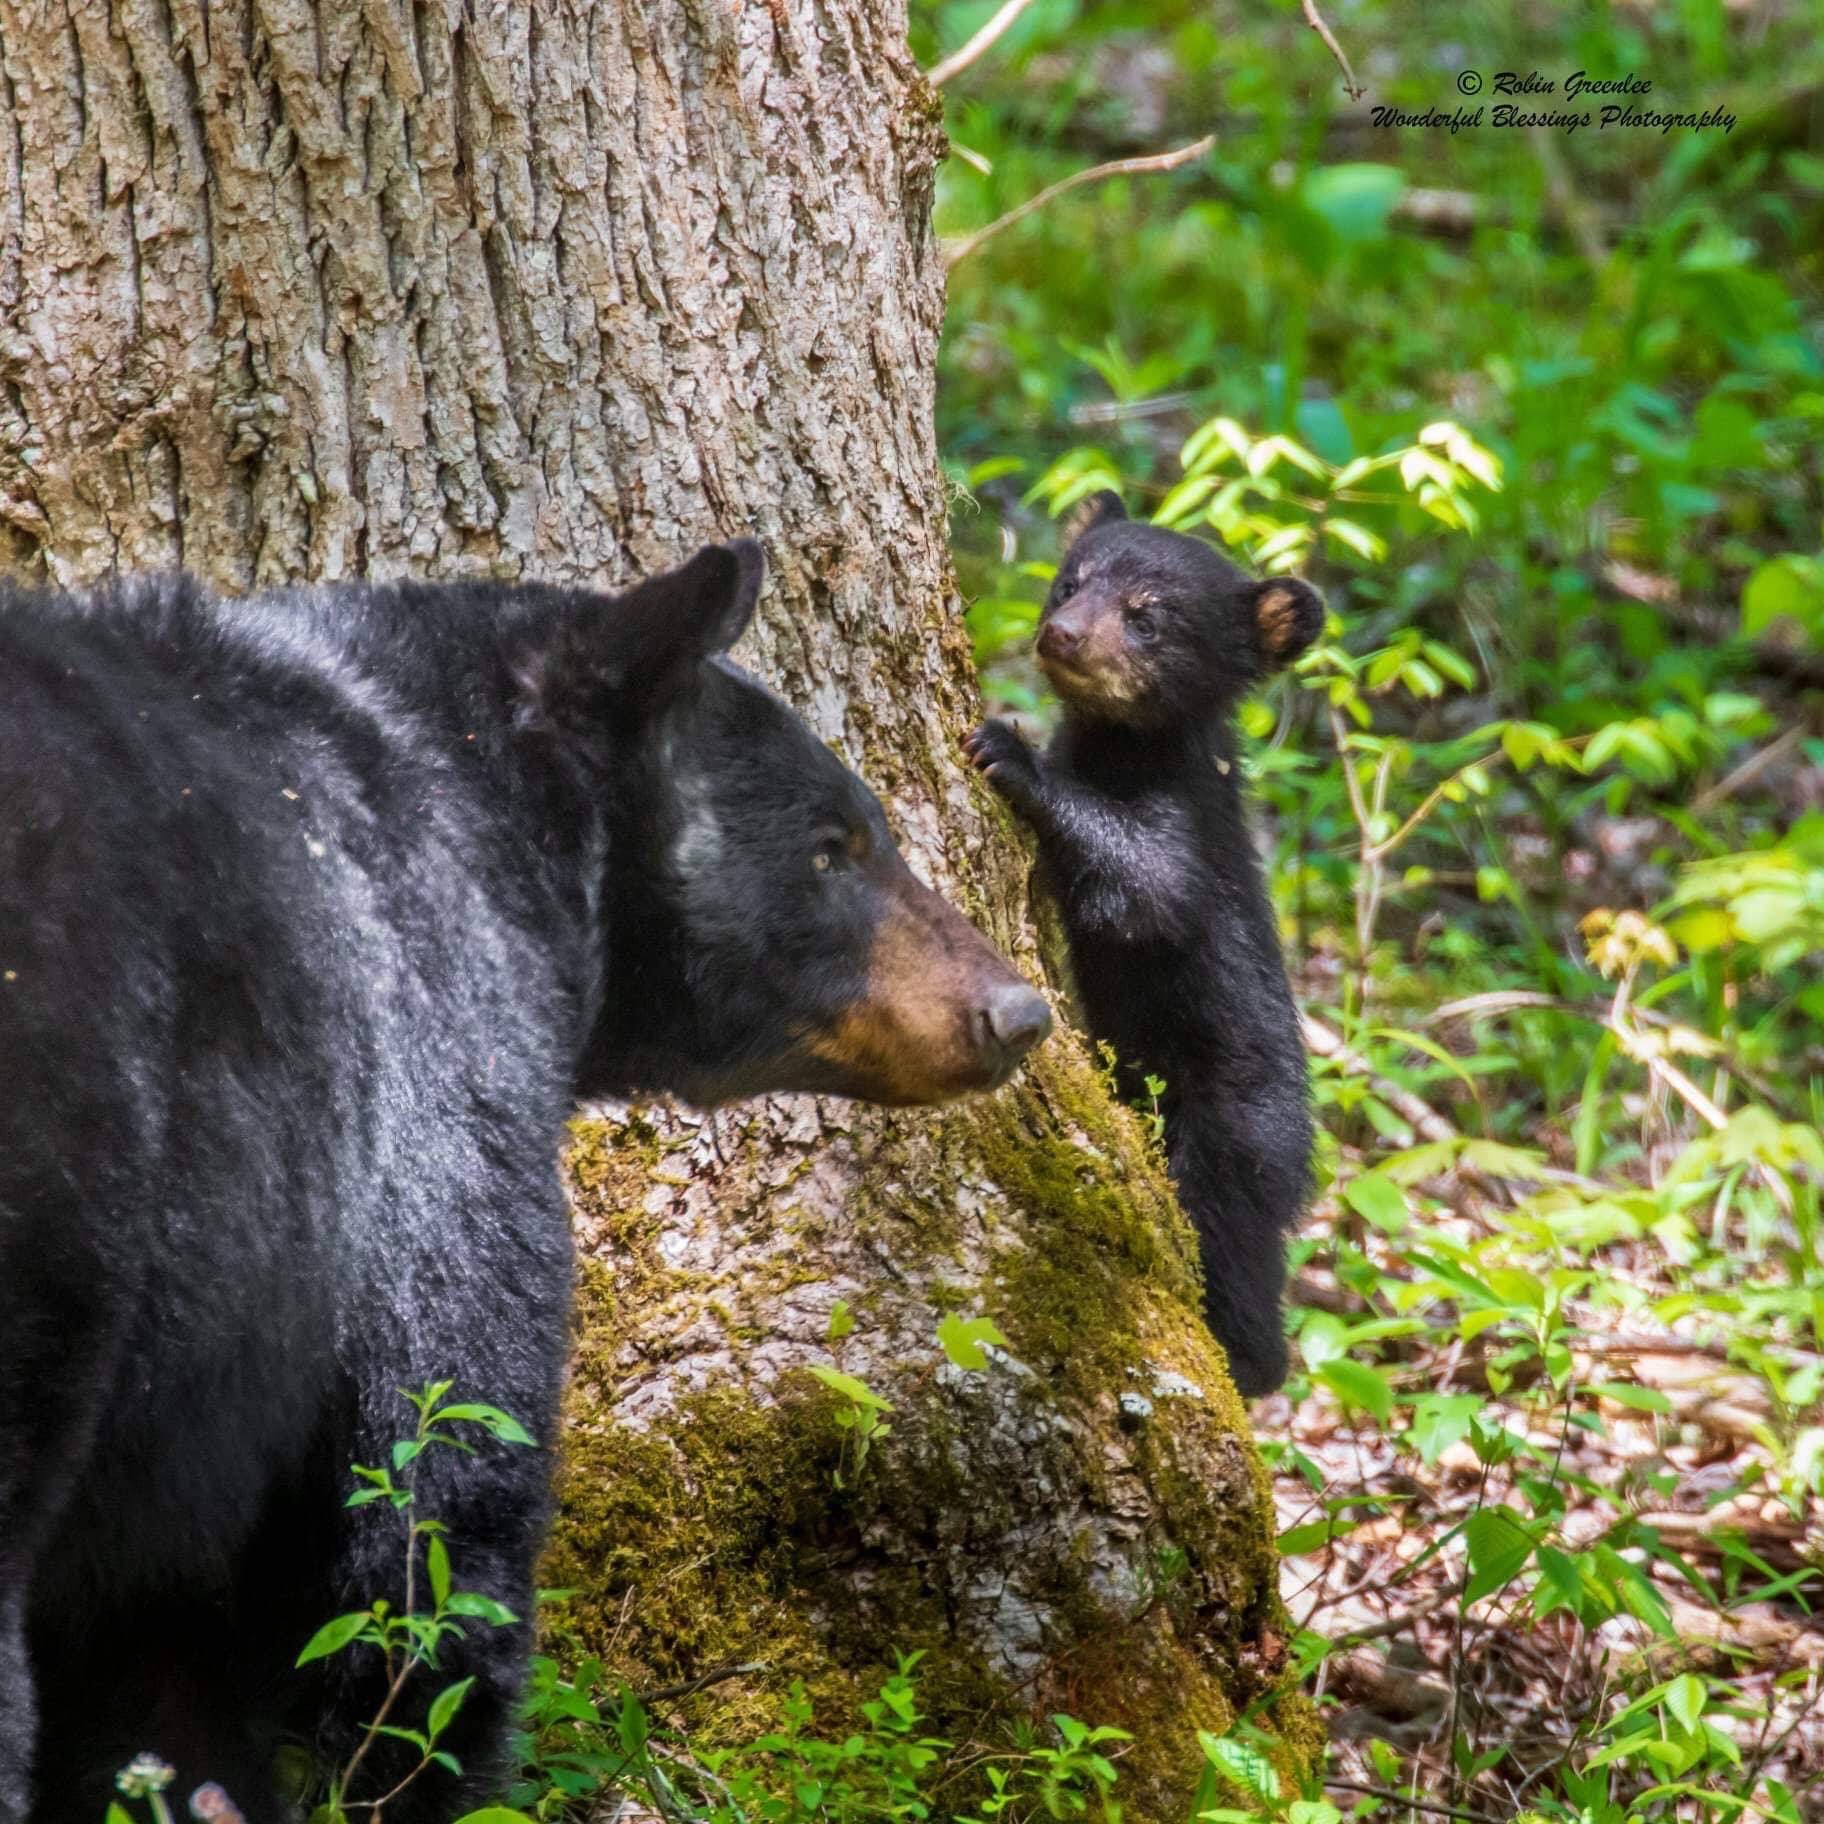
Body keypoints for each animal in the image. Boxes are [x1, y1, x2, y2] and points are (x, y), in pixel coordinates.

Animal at [0, 543, 1050, 1824]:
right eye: (833, 846)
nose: (1018, 1010)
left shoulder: (194, 1402)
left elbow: (152, 1655)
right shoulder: (422, 1104)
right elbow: (428, 1515)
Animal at [963, 496, 1320, 1393]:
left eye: (1148, 617)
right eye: (1070, 582)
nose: (1061, 635)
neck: (1122, 750)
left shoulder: (1189, 829)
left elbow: (1152, 886)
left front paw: (1007, 749)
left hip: (1232, 1130)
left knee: (1233, 1243)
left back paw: (1248, 1361)